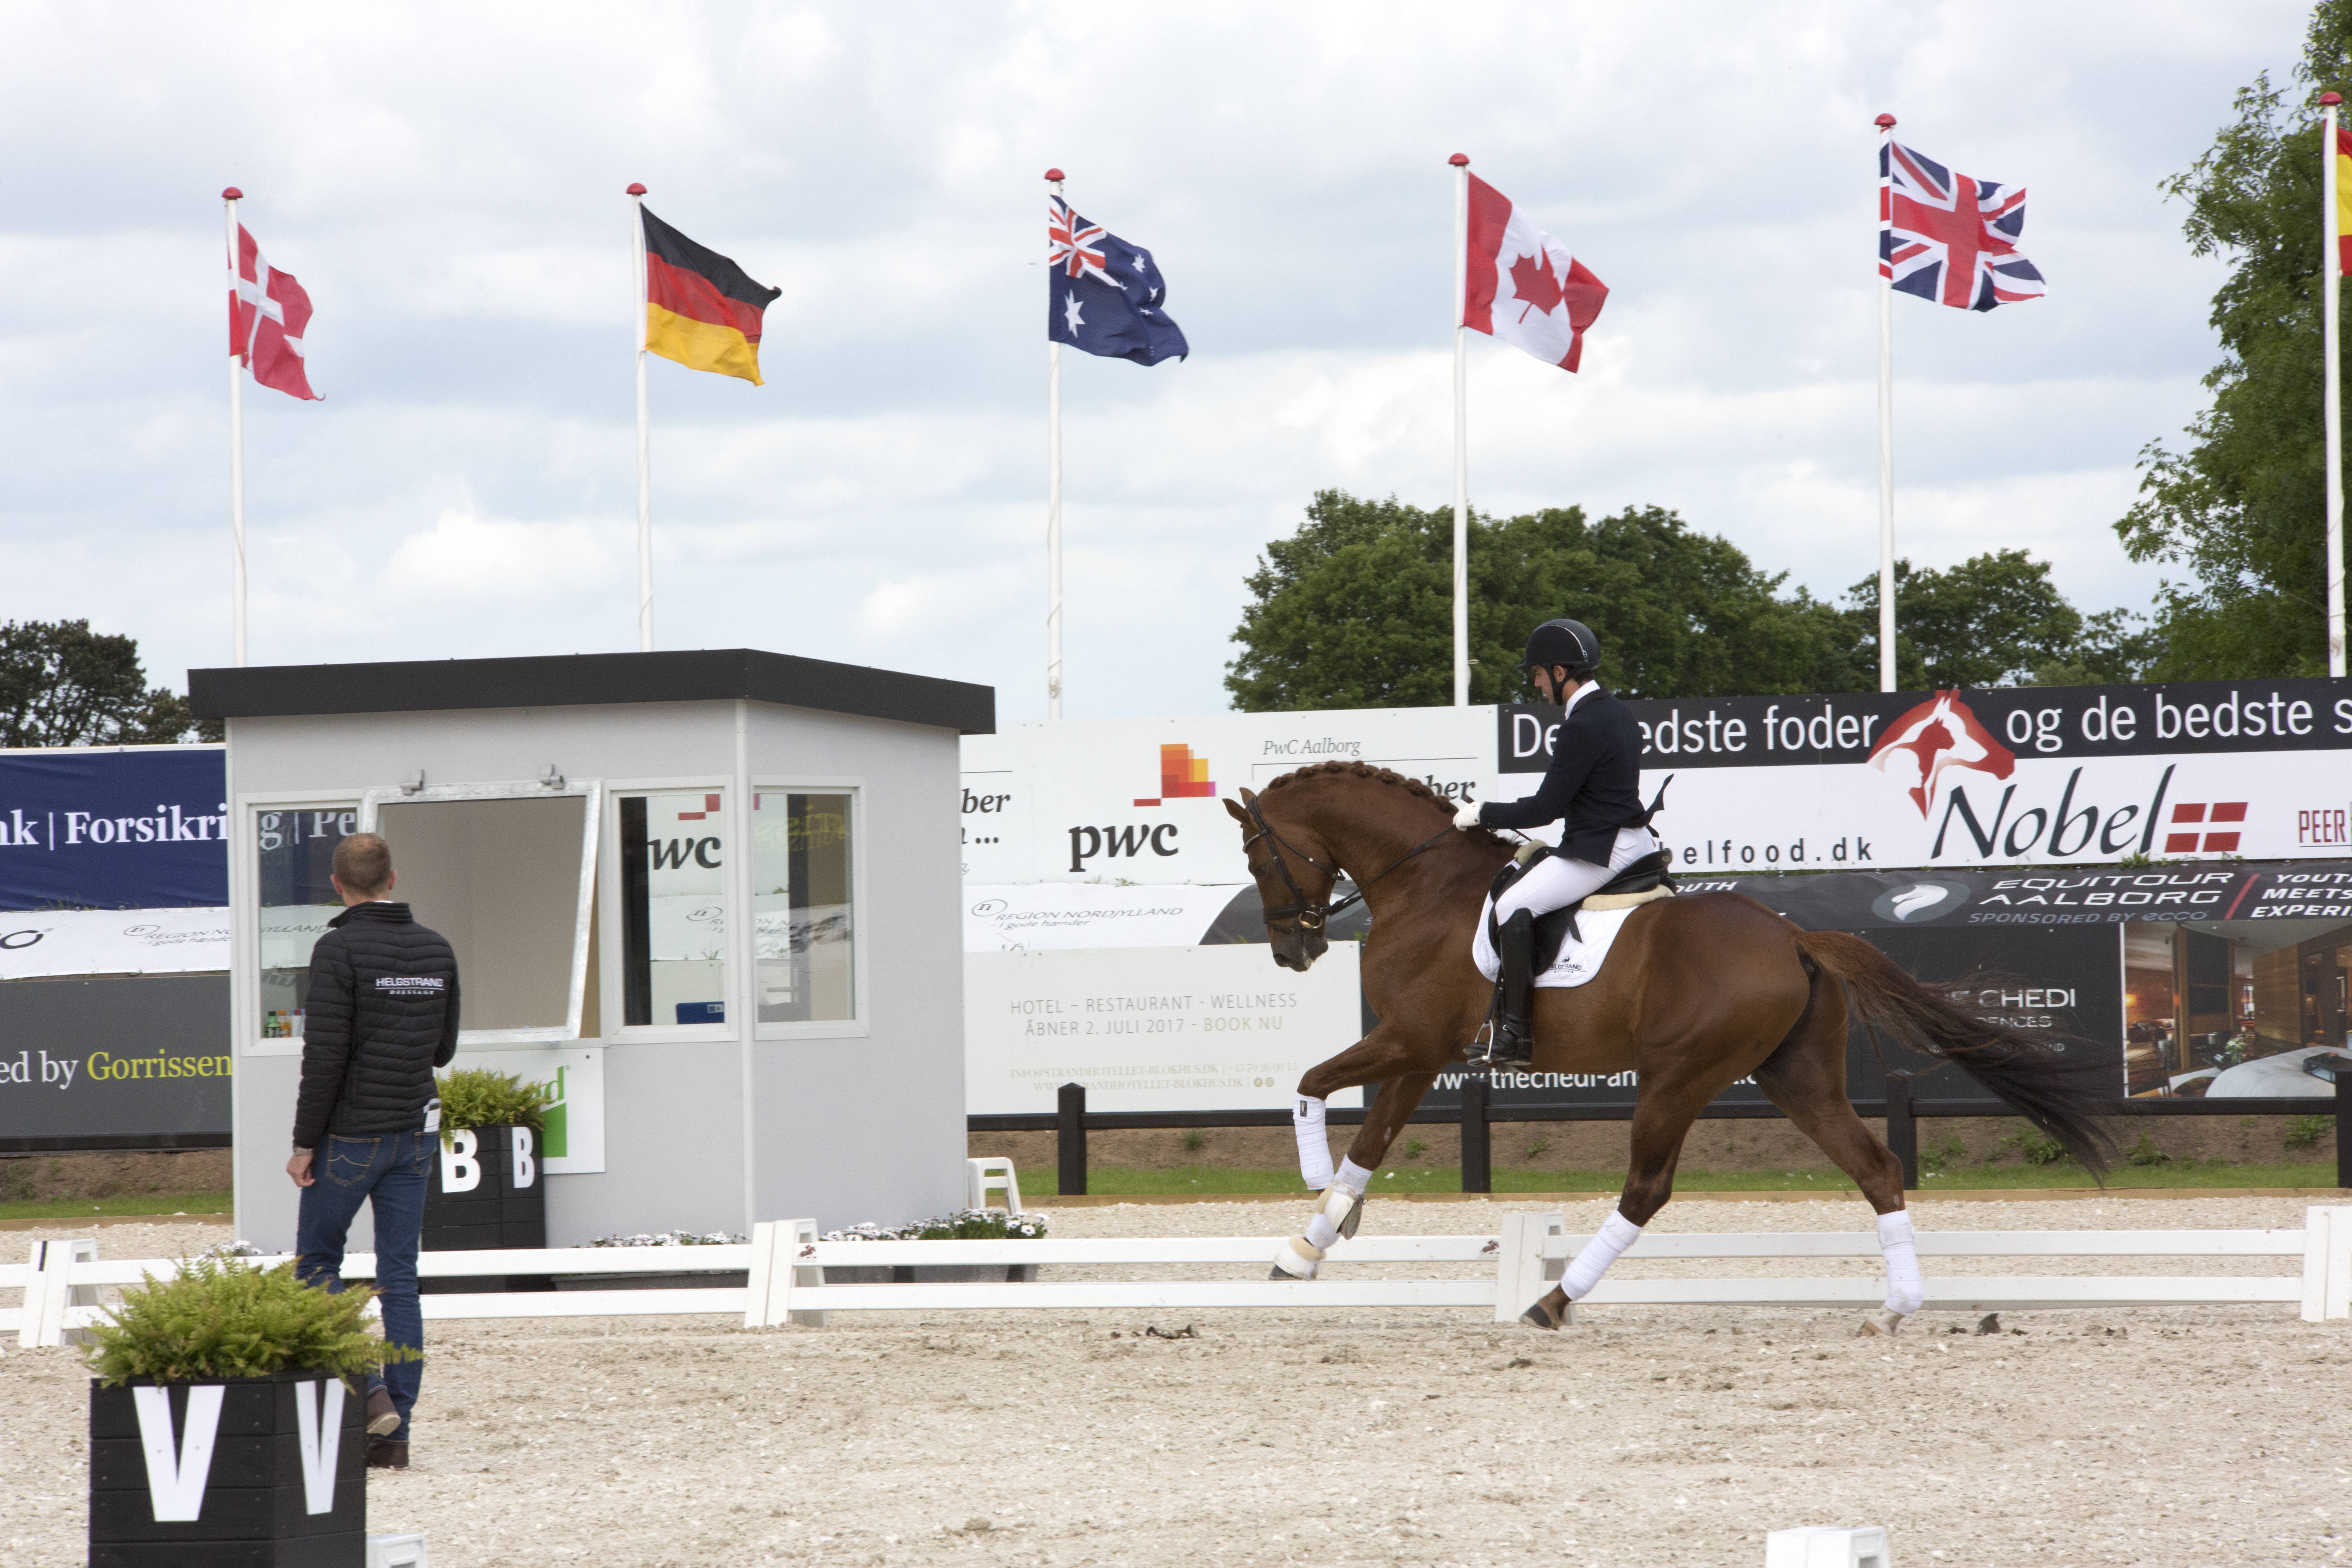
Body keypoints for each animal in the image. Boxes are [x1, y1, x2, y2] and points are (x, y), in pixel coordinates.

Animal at [1232, 762, 2117, 1335]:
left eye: (1258, 856)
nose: (1293, 952)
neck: (1426, 887)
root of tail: (1794, 936)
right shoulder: (1421, 1051)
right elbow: (1372, 1143)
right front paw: (1312, 1243)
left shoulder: (1410, 1038)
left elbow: (1312, 1084)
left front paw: (1314, 1194)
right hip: (1795, 1078)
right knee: (1877, 1167)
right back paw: (1892, 1311)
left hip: (1678, 1077)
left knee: (1647, 1189)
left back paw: (1554, 1302)